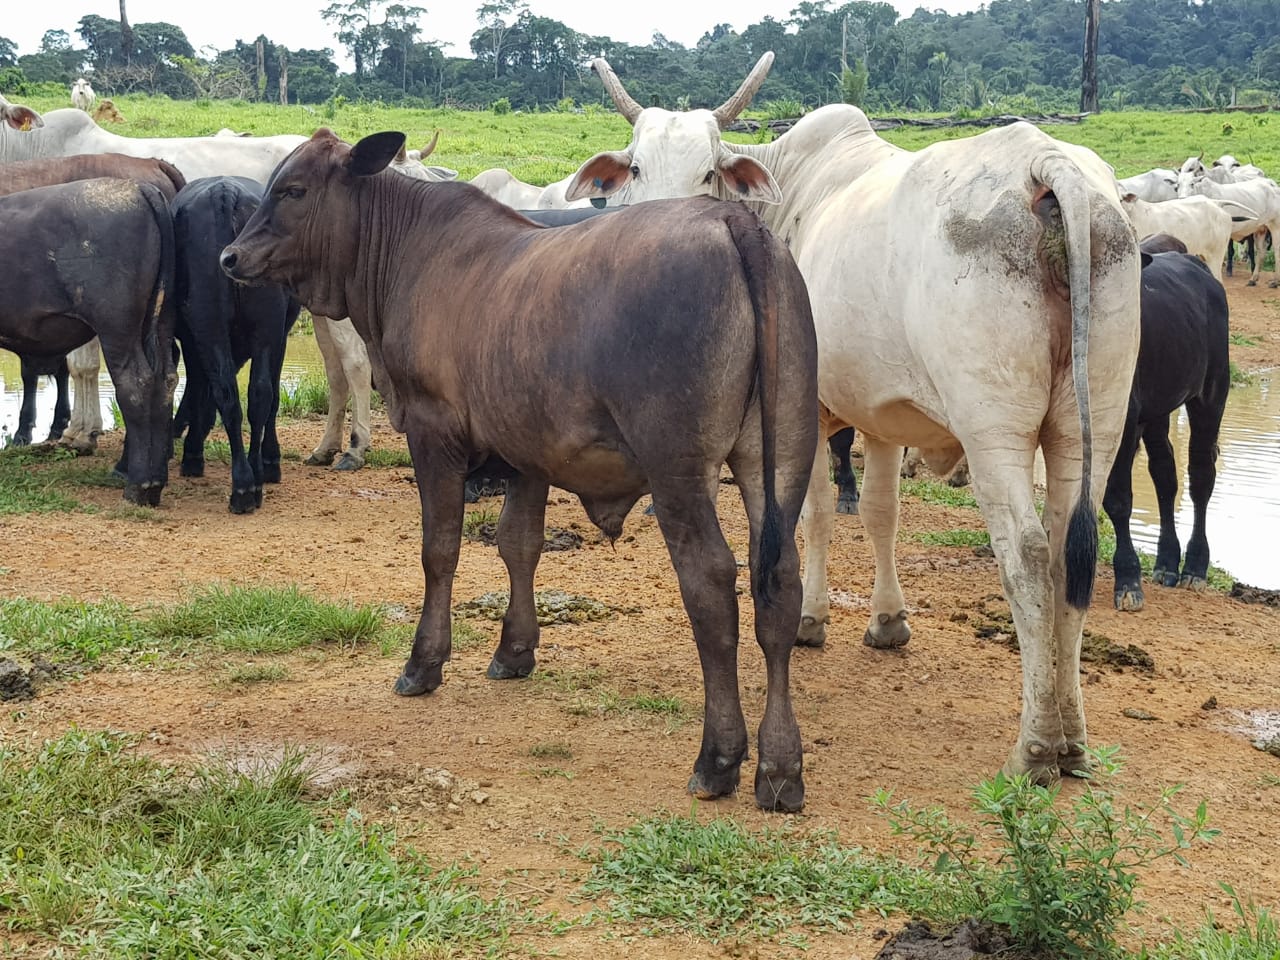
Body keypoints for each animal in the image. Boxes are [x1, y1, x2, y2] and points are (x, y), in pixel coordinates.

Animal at [0, 181, 176, 512]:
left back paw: (138, 486)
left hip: (117, 330)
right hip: (160, 325)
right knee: (165, 384)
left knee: (135, 387)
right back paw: (155, 483)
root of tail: (138, 188)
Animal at [170, 176, 302, 514]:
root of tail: (224, 191)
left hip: (215, 324)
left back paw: (244, 483)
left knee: (235, 394)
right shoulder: (278, 336)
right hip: (260, 325)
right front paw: (270, 461)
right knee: (255, 395)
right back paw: (249, 481)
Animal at [222, 128, 819, 814]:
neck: (408, 253)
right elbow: (519, 545)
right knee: (779, 585)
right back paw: (780, 766)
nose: (230, 257)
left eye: (293, 191)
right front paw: (514, 649)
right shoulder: (530, 451)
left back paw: (719, 757)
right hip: (779, 458)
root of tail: (731, 221)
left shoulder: (433, 432)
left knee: (713, 586)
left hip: (679, 471)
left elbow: (440, 550)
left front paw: (424, 663)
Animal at [570, 60, 1141, 783]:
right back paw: (1072, 738)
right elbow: (877, 511)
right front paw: (888, 621)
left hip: (995, 427)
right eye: (637, 167)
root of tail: (1045, 163)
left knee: (1030, 554)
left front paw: (810, 618)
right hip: (1093, 420)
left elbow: (813, 511)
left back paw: (1036, 746)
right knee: (1072, 547)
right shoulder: (882, 413)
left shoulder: (805, 408)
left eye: (709, 172)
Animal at [1100, 240, 1228, 616]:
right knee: (1165, 474)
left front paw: (1128, 581)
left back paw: (1195, 568)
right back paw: (1167, 563)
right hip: (1156, 410)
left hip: (1211, 392)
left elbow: (1117, 499)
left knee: (1200, 476)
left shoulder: (1125, 419)